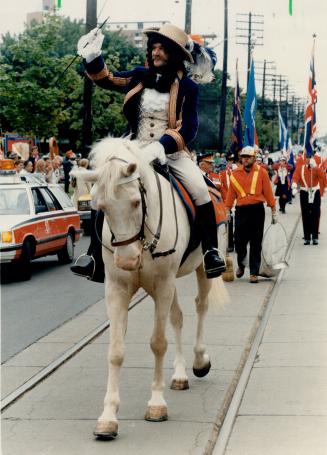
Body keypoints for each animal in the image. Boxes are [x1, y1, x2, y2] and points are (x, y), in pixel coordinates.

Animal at [80, 137, 228, 440]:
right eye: (102, 206)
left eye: (136, 201)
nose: (127, 260)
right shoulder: (118, 288)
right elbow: (116, 350)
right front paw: (108, 417)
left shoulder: (163, 284)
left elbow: (158, 343)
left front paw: (157, 404)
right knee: (177, 317)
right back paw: (180, 374)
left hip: (196, 271)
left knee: (201, 306)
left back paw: (199, 361)